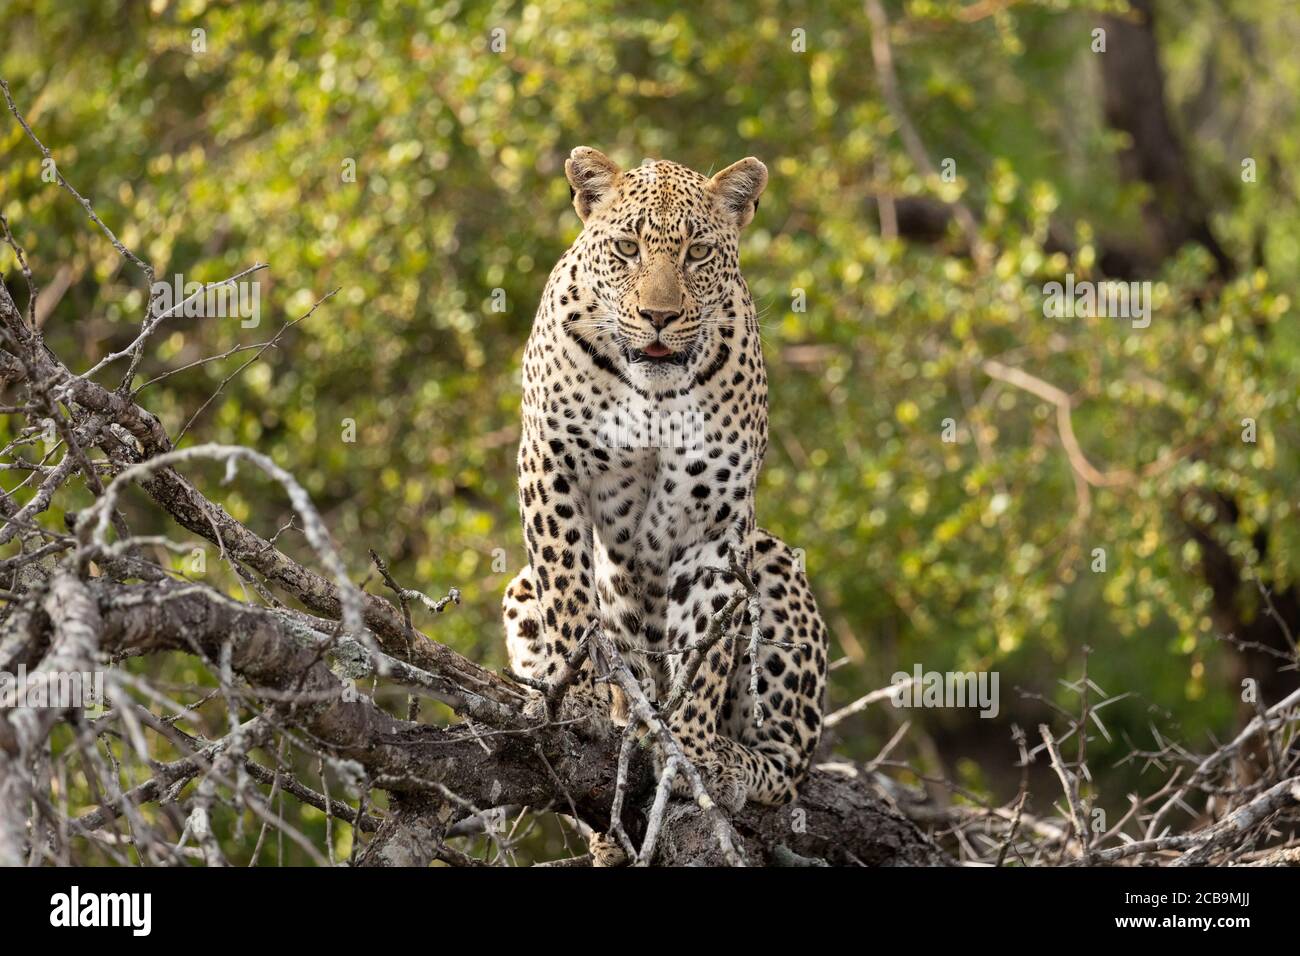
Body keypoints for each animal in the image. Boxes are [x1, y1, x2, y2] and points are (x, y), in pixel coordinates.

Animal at [501, 145, 826, 811]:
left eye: (697, 253)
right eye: (627, 248)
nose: (658, 316)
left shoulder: (718, 519)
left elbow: (705, 643)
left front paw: (692, 751)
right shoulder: (551, 465)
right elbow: (571, 597)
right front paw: (580, 698)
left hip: (775, 562)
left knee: (789, 766)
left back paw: (734, 760)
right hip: (518, 587)